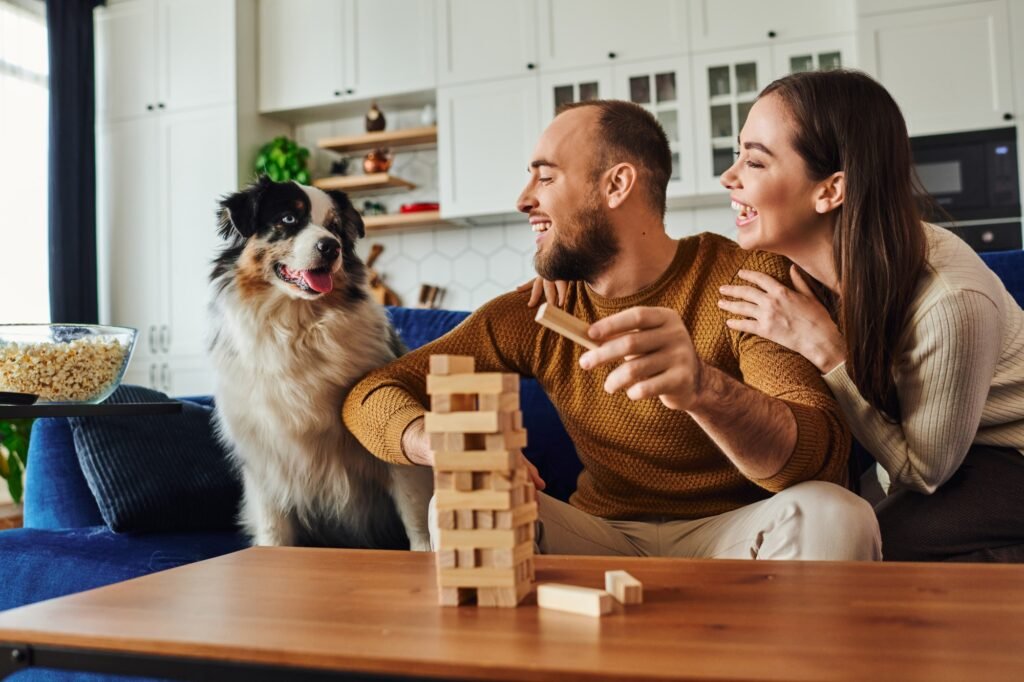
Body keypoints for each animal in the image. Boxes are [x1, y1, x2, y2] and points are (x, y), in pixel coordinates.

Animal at [207, 175, 432, 548]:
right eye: (288, 219)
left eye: (335, 228)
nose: (331, 247)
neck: (299, 328)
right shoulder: (264, 456)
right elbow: (273, 529)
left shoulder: (391, 448)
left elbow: (417, 519)